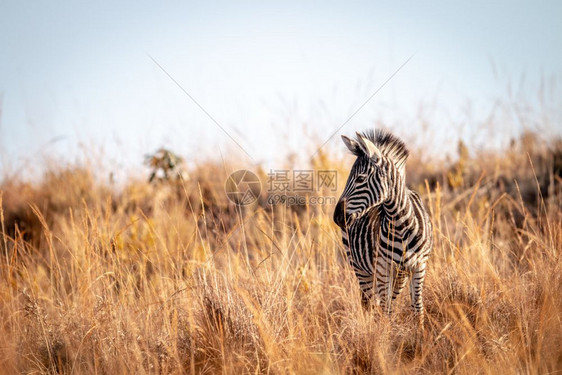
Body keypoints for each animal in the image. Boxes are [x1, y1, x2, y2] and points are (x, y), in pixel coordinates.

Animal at [332, 131, 434, 328]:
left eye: (360, 179)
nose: (338, 217)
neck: (402, 224)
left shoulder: (419, 265)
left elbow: (417, 307)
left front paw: (420, 334)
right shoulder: (382, 266)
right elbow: (385, 310)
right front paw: (386, 335)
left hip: (399, 272)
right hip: (360, 267)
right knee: (370, 303)